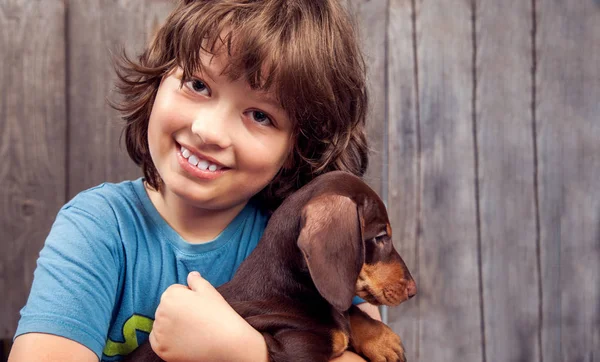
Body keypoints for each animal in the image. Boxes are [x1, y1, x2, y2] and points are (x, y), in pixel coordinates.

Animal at [125, 172, 418, 362]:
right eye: (381, 237)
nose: (413, 291)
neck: (288, 287)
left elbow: (347, 310)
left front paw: (383, 341)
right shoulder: (297, 349)